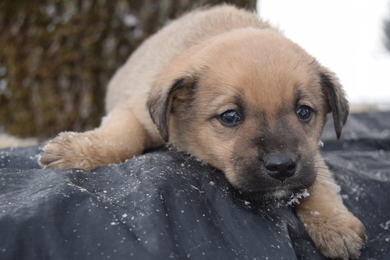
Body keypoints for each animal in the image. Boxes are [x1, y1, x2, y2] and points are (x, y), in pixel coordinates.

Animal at [39, 4, 366, 260]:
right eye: (230, 116)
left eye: (304, 112)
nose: (282, 166)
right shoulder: (132, 110)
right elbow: (122, 136)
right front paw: (79, 149)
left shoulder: (309, 153)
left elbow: (320, 181)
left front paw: (335, 224)